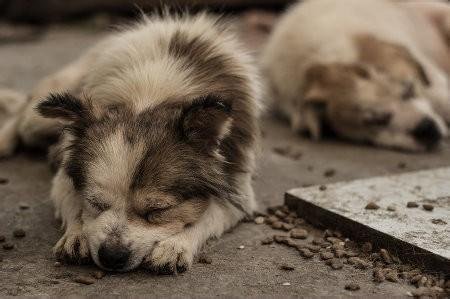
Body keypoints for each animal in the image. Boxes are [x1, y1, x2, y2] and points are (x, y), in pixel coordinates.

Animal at [0, 12, 260, 274]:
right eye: (96, 203)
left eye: (157, 211)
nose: (111, 256)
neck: (149, 99)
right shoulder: (66, 174)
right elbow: (72, 202)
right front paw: (78, 234)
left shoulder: (238, 189)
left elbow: (207, 216)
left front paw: (175, 245)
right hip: (39, 118)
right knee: (22, 112)